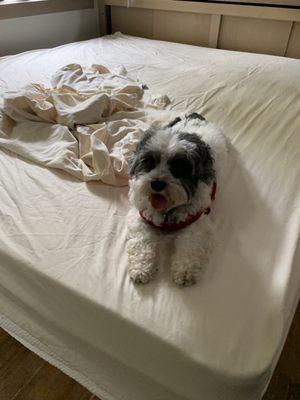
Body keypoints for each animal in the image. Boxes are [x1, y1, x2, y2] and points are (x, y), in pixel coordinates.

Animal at [125, 114, 229, 286]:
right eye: (149, 162)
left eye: (179, 168)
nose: (157, 183)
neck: (167, 211)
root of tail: (194, 116)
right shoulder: (141, 219)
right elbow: (141, 242)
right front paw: (141, 268)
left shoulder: (196, 224)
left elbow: (190, 246)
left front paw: (185, 271)